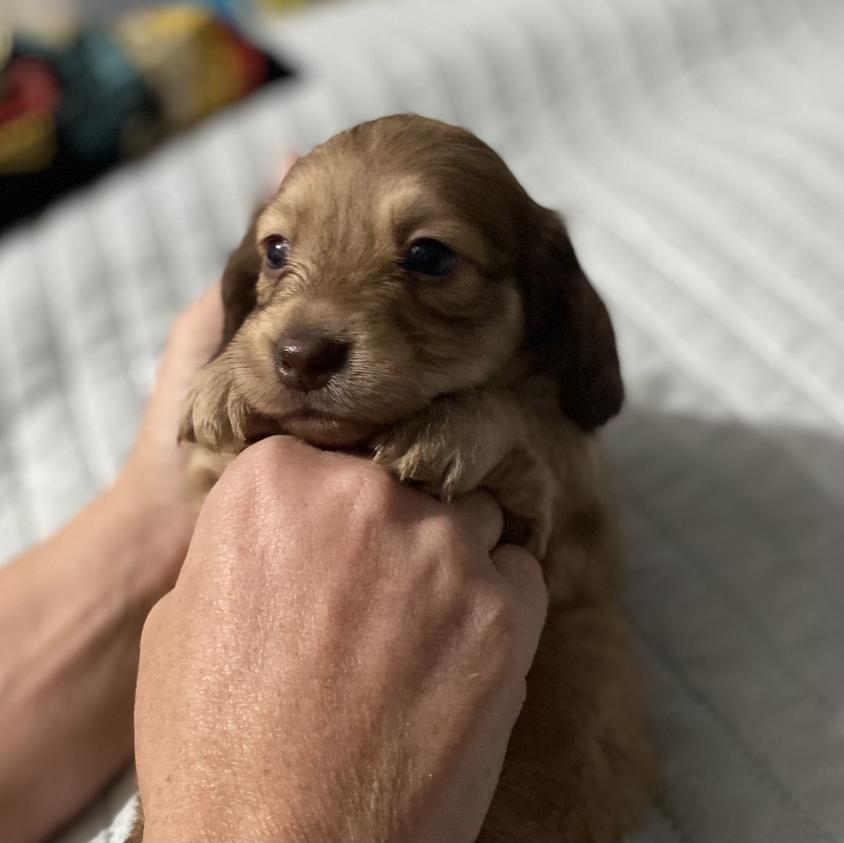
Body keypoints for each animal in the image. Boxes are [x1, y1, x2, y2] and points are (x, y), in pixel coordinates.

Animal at [130, 113, 652, 843]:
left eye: (429, 255)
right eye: (275, 250)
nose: (300, 355)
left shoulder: (554, 523)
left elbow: (522, 417)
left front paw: (451, 429)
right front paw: (223, 380)